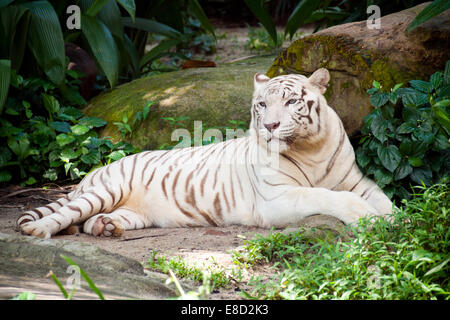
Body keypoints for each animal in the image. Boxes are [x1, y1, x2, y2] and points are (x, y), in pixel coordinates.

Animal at [16, 68, 390, 238]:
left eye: (291, 102)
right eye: (262, 105)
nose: (270, 125)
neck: (310, 148)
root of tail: (94, 172)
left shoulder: (358, 181)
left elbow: (382, 198)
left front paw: (395, 217)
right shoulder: (278, 198)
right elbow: (328, 196)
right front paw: (368, 218)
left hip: (134, 212)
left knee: (93, 220)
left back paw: (107, 228)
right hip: (106, 190)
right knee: (66, 214)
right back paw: (40, 231)